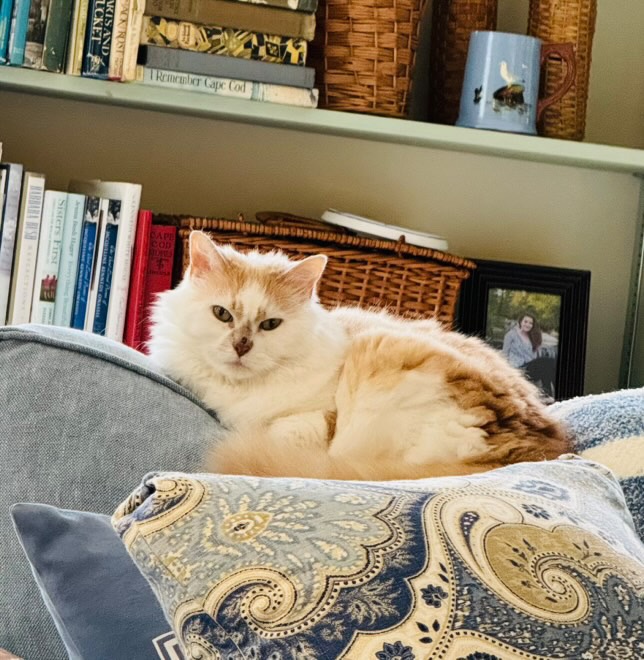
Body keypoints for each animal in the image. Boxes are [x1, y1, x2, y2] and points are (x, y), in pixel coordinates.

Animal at [147, 231, 568, 480]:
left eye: (270, 325)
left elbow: (281, 430)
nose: (241, 346)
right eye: (223, 315)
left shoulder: (319, 419)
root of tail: (532, 449)